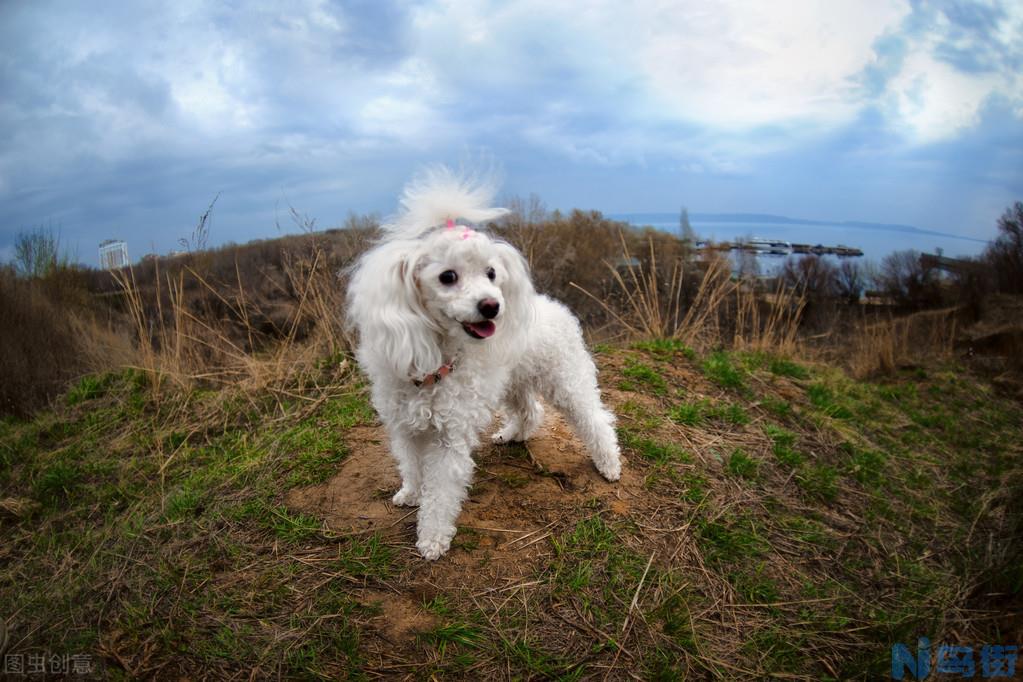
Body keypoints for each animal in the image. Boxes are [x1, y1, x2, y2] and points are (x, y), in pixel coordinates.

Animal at [345, 166, 621, 560]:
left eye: (491, 273)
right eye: (448, 276)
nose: (493, 305)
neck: (436, 365)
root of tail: (557, 309)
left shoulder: (450, 438)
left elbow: (441, 494)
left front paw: (432, 539)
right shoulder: (405, 427)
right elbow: (411, 466)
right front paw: (411, 493)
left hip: (566, 380)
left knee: (595, 420)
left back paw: (609, 464)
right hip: (514, 381)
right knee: (530, 411)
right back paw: (513, 434)